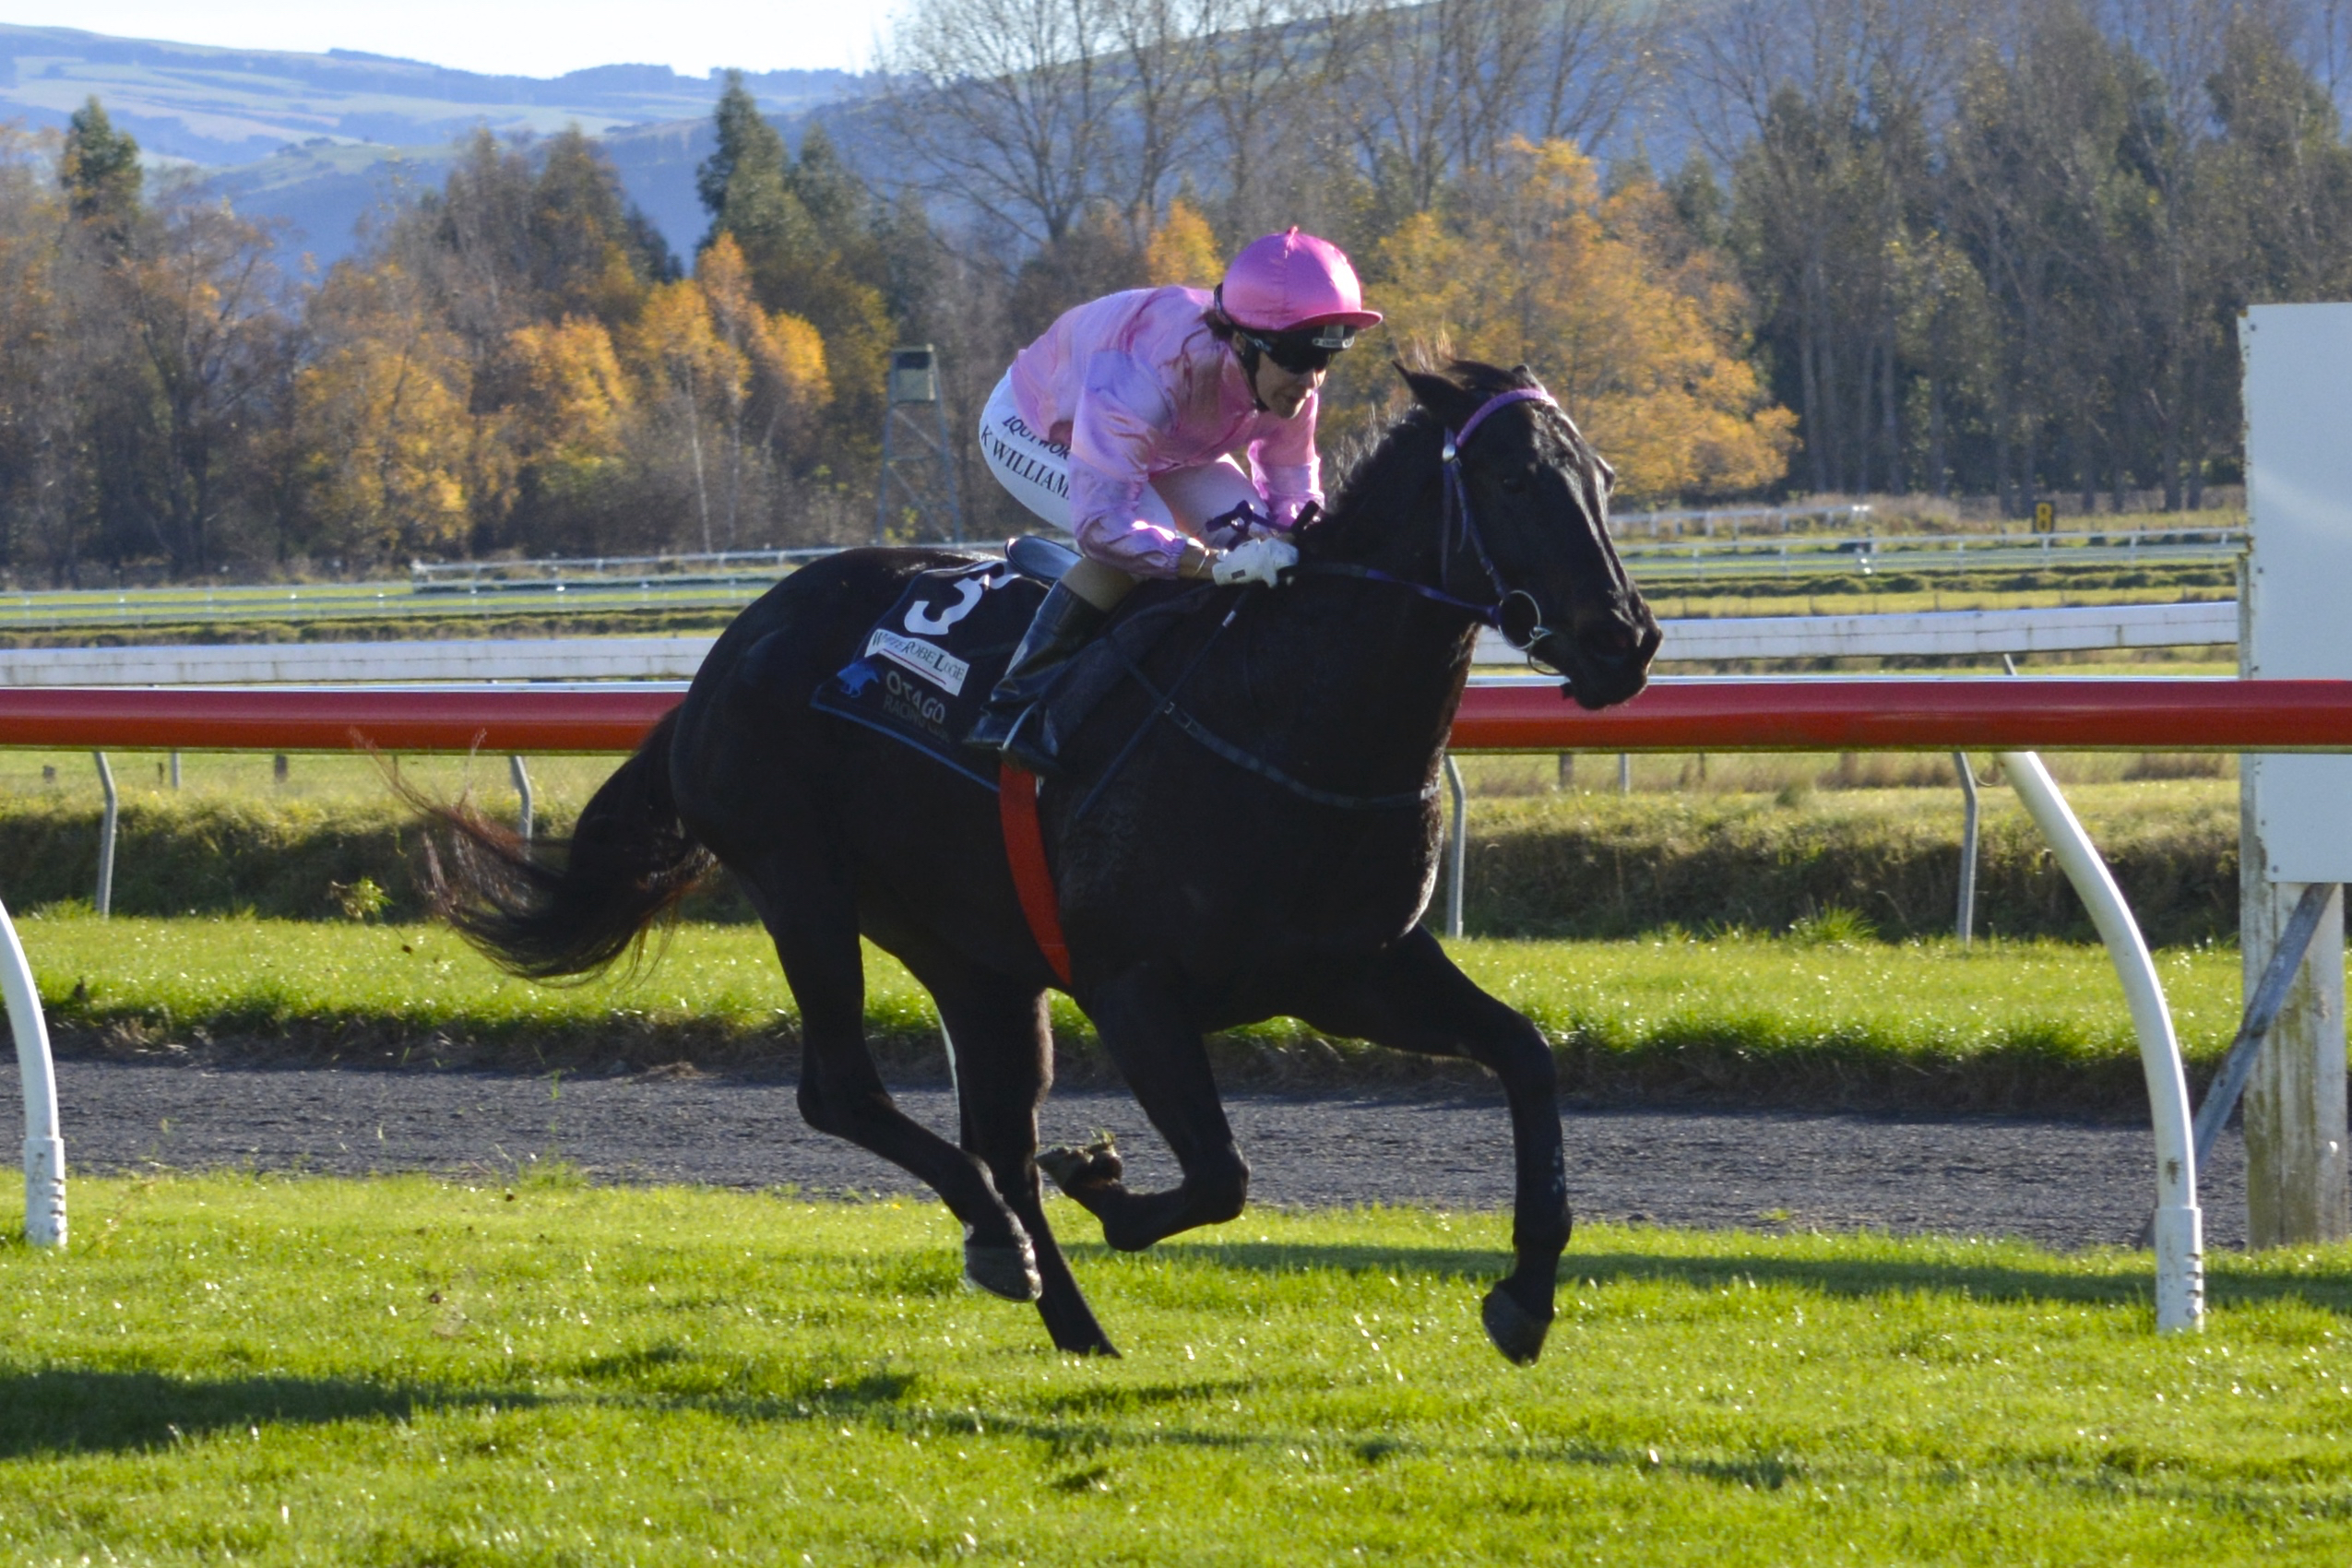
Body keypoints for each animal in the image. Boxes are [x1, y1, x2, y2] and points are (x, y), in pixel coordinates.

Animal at [428, 362, 1674, 1363]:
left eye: (1603, 477)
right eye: (1511, 481)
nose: (1624, 639)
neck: (1283, 711)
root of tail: (719, 659)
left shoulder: (1355, 966)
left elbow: (1526, 1057)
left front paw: (1524, 1296)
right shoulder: (1134, 983)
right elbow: (1219, 1173)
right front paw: (1108, 1187)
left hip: (976, 956)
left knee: (999, 1135)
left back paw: (1067, 1314)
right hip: (802, 884)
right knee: (850, 1092)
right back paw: (997, 1237)